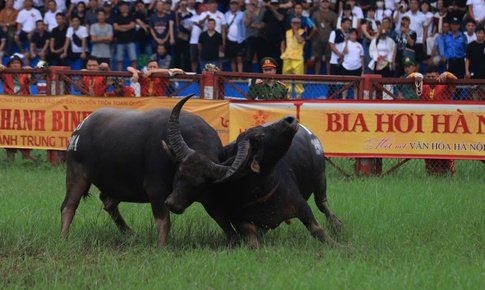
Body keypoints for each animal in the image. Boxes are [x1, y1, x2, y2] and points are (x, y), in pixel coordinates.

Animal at [61, 94, 225, 245]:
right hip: (75, 174)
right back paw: (65, 237)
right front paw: (162, 247)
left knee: (107, 202)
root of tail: (80, 128)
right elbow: (163, 222)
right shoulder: (156, 190)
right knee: (68, 206)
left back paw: (129, 232)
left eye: (200, 185)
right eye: (179, 173)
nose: (173, 204)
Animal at [164, 96, 342, 246]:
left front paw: (344, 247)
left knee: (322, 203)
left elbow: (319, 231)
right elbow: (251, 242)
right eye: (259, 136)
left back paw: (337, 225)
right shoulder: (242, 223)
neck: (259, 187)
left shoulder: (302, 206)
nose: (289, 119)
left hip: (320, 178)